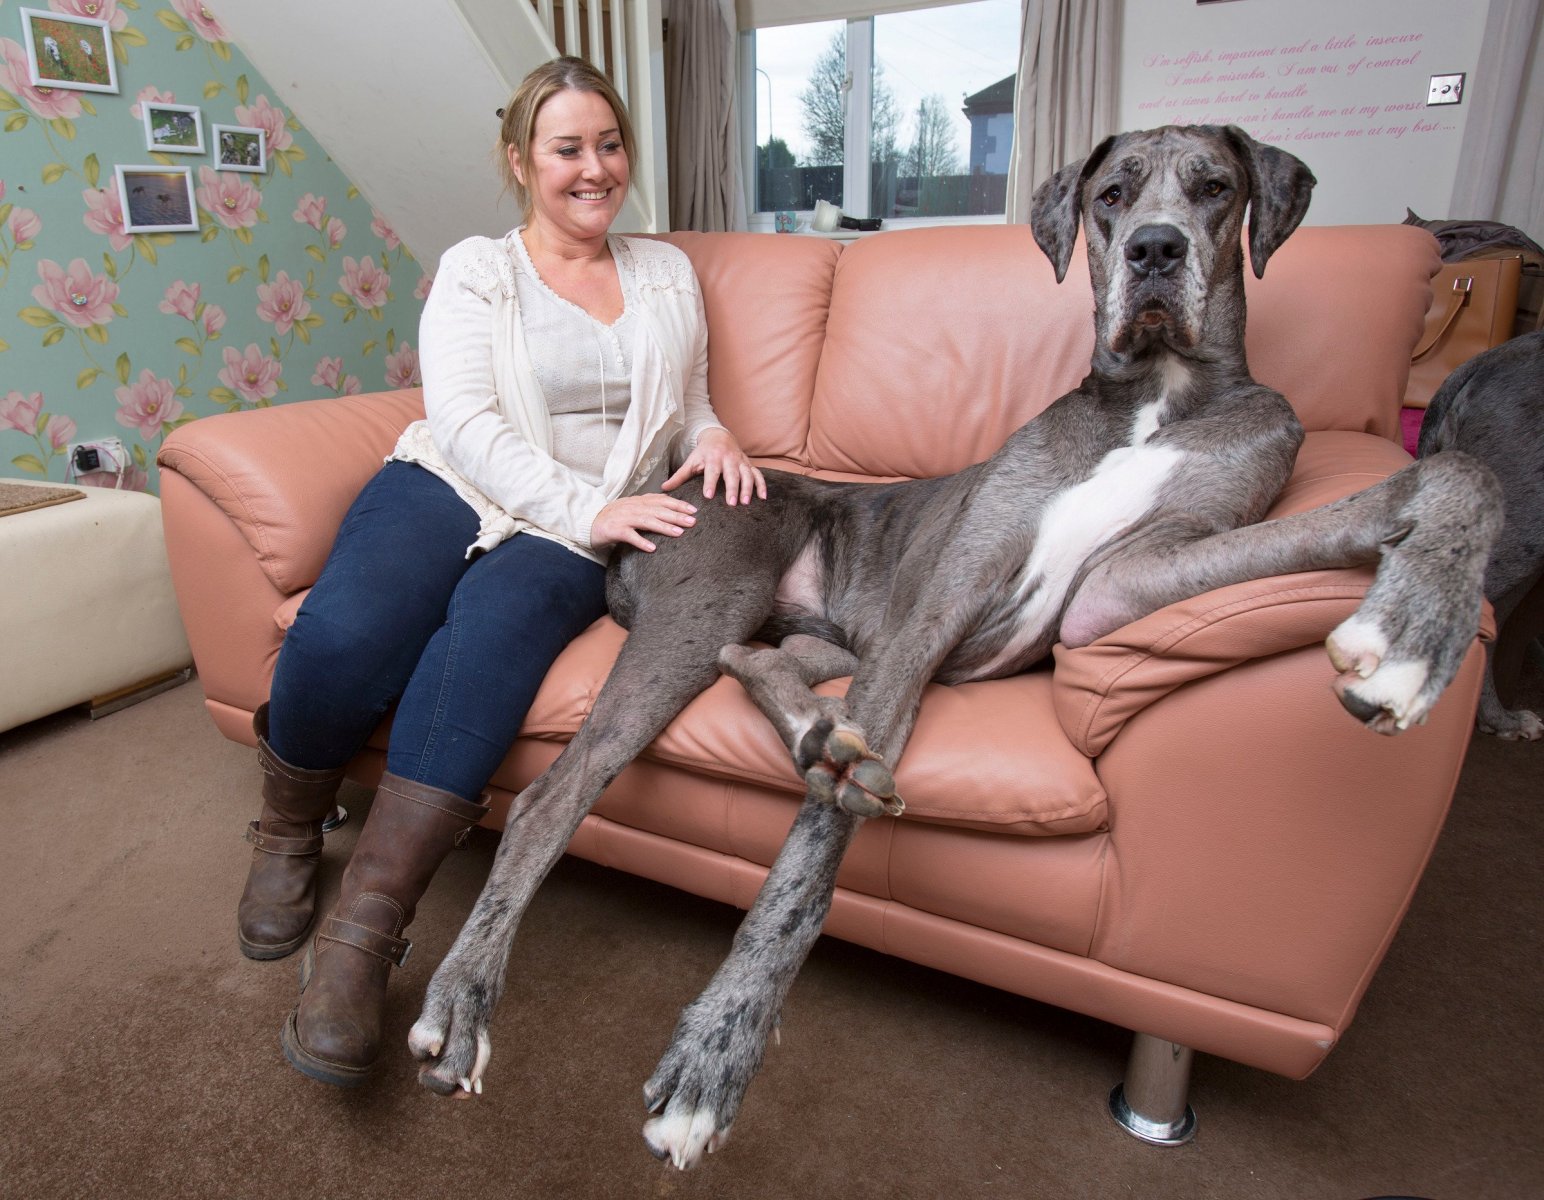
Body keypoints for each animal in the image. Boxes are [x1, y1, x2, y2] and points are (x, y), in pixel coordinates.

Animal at [404, 126, 1500, 1167]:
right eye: (1112, 195)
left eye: (1214, 188)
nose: (1154, 249)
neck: (1153, 395)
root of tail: (646, 506)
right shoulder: (935, 610)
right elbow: (803, 871)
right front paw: (718, 1053)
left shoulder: (1122, 584)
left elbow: (1451, 471)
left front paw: (1415, 629)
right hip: (715, 600)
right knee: (551, 797)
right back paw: (462, 1002)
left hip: (814, 634)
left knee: (755, 669)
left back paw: (819, 736)